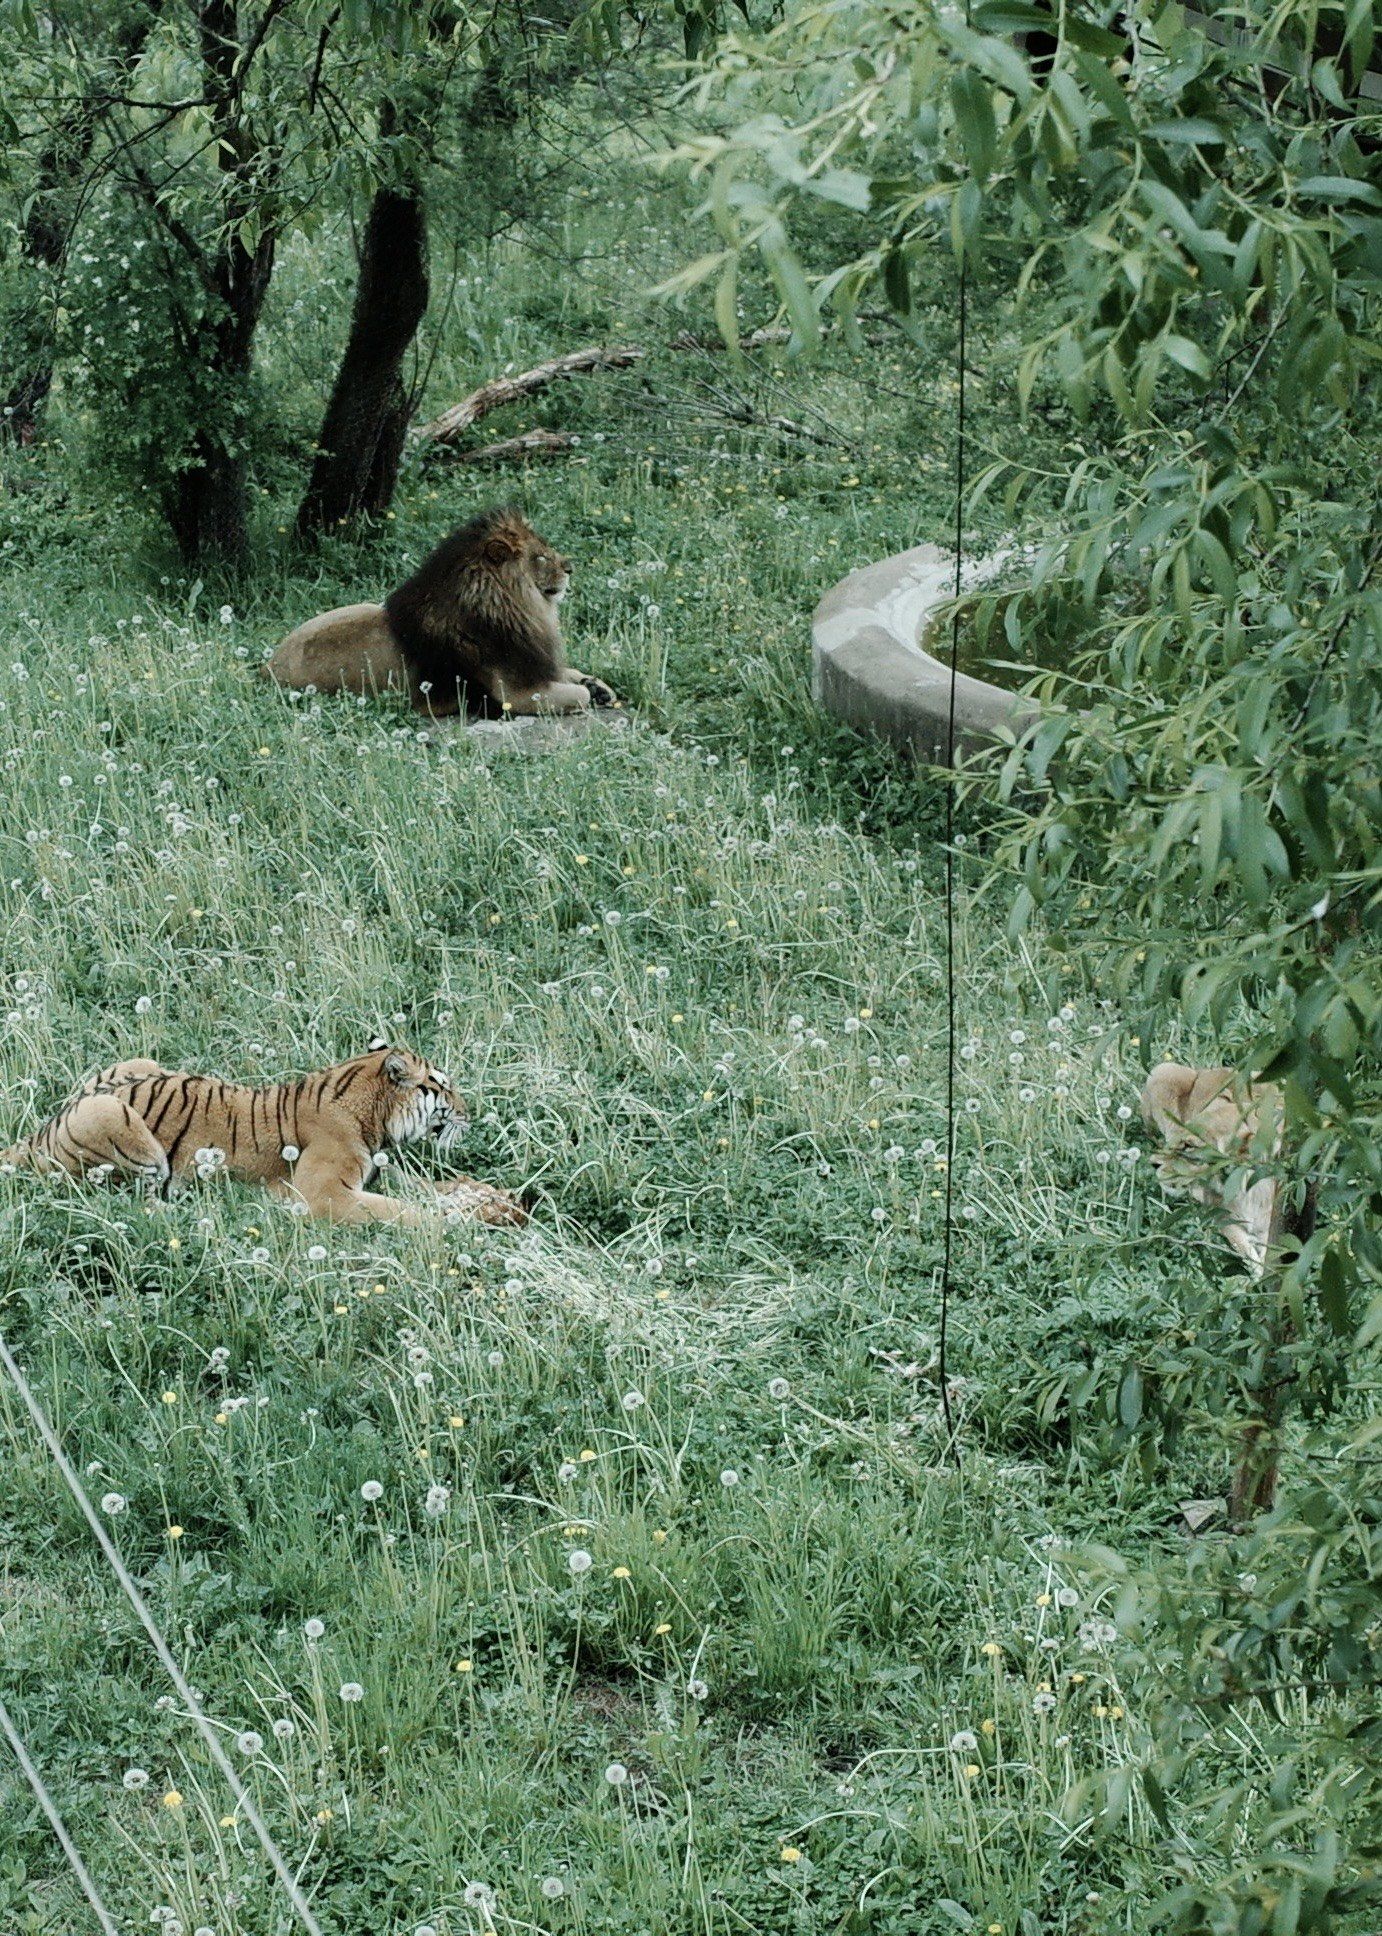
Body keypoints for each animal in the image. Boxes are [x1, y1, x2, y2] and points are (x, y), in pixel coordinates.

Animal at [0, 1039, 526, 1228]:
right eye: (443, 1086)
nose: (471, 1112)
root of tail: (40, 1130)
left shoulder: (376, 1171)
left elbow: (431, 1188)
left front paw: (490, 1200)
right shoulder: (324, 1193)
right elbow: (402, 1211)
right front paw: (454, 1227)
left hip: (135, 1062)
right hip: (113, 1118)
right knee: (136, 1200)